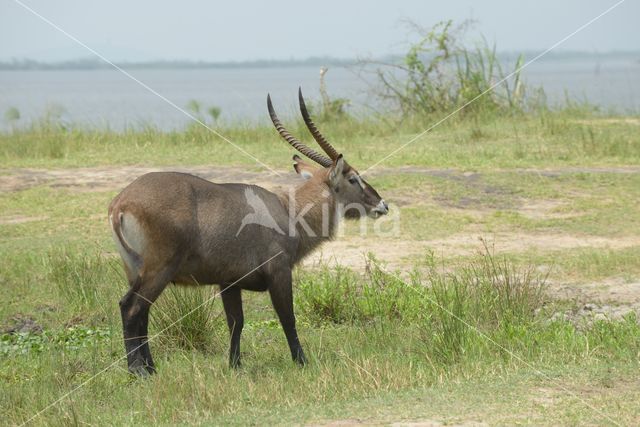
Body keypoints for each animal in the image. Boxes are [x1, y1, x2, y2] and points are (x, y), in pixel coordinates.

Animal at [110, 89, 388, 374]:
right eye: (353, 178)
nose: (382, 204)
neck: (288, 210)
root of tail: (122, 202)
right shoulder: (279, 272)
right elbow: (288, 318)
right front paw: (301, 361)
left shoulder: (229, 282)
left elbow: (236, 323)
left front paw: (235, 365)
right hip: (159, 270)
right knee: (131, 308)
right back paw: (138, 371)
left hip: (136, 271)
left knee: (141, 313)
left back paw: (151, 369)